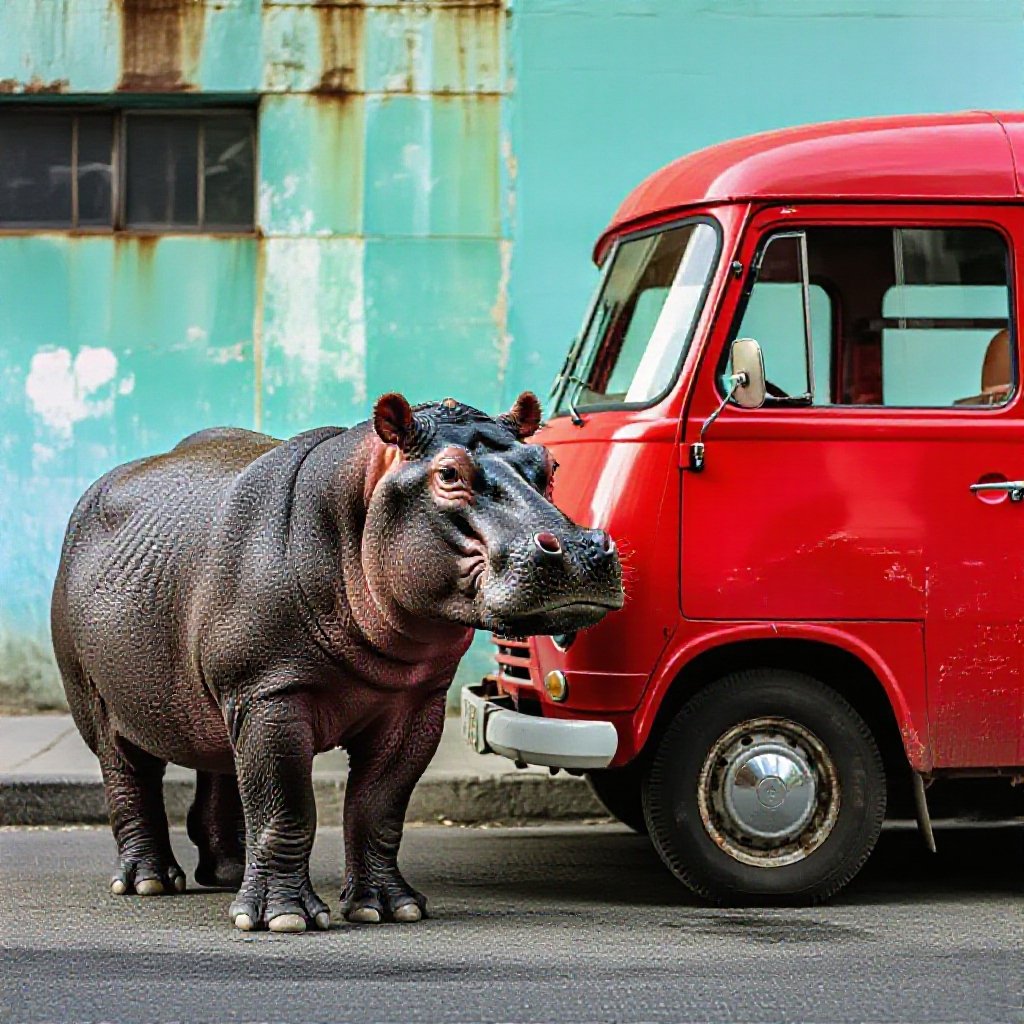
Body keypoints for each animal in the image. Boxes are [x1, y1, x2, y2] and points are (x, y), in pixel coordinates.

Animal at [51, 392, 623, 933]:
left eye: (548, 464)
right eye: (448, 474)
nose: (581, 548)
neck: (362, 498)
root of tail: (97, 488)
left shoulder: (415, 702)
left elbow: (378, 806)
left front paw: (390, 909)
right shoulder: (272, 692)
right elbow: (285, 804)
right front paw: (283, 920)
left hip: (216, 694)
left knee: (220, 763)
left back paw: (229, 875)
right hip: (100, 699)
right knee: (129, 772)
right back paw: (149, 883)